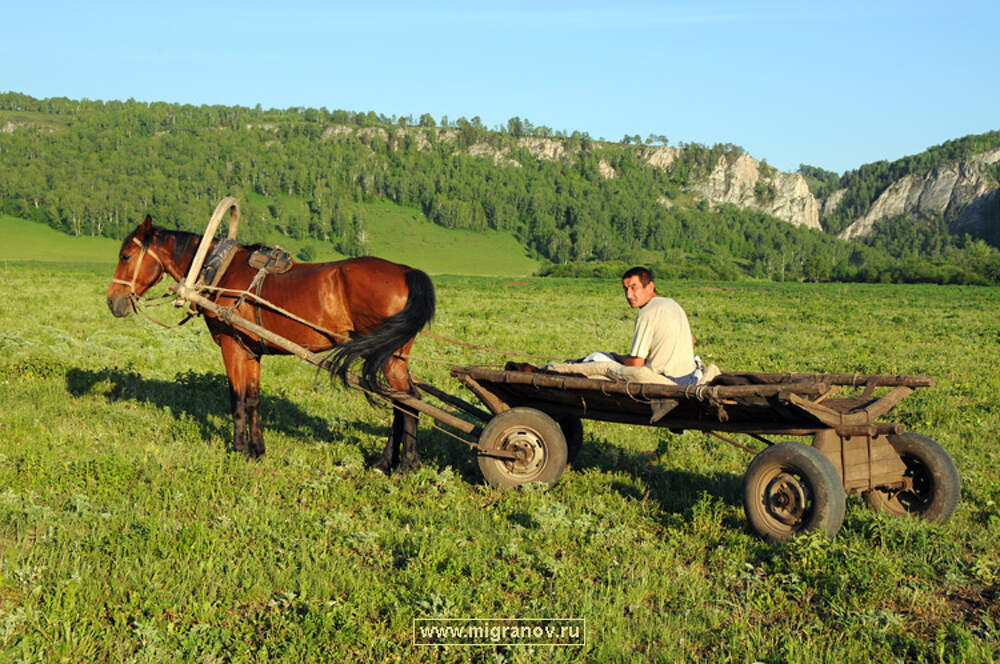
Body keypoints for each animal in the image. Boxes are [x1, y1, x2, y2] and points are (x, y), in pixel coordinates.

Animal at [105, 215, 434, 470]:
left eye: (125, 256)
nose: (112, 302)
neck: (220, 270)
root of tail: (406, 271)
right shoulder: (251, 352)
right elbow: (253, 398)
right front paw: (257, 450)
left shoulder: (232, 346)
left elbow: (237, 399)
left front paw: (239, 450)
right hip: (390, 356)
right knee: (402, 402)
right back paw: (385, 462)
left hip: (387, 356)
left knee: (409, 401)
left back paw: (406, 465)